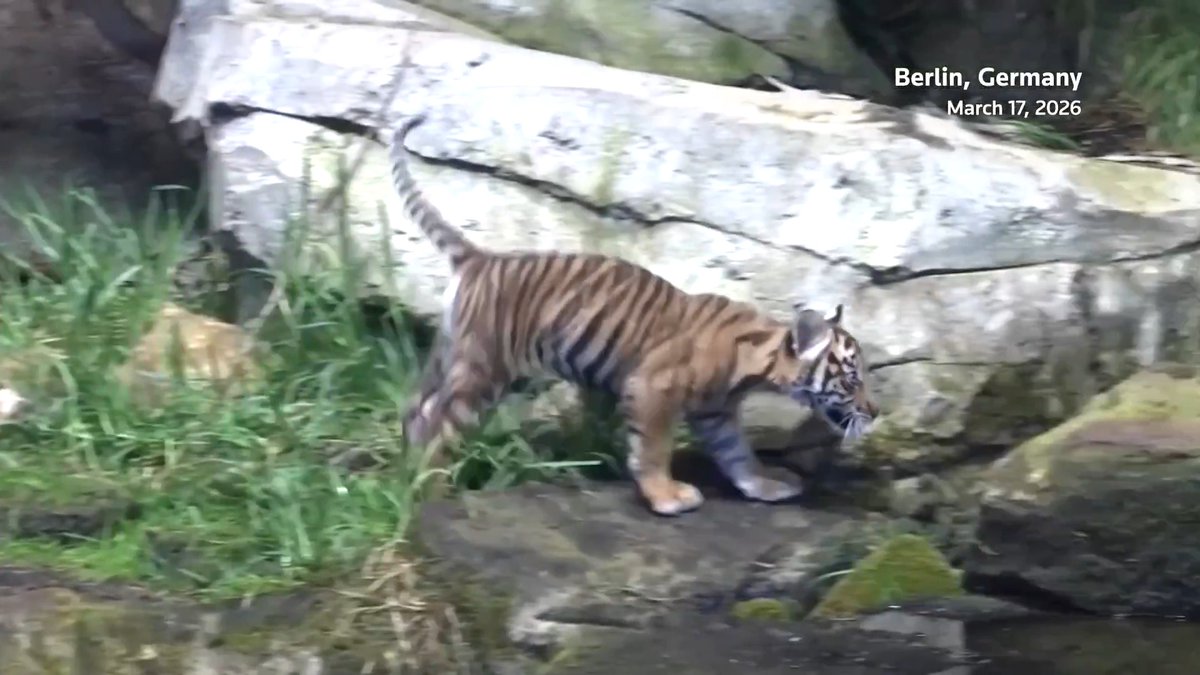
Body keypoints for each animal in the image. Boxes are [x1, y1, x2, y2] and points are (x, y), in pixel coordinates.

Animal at [388, 114, 878, 516]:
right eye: (852, 379)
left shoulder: (716, 413)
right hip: (485, 369)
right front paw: (668, 497)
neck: (756, 362)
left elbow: (738, 453)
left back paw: (406, 467)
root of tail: (479, 257)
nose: (874, 412)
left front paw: (764, 485)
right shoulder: (653, 389)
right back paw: (430, 489)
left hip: (452, 354)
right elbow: (654, 448)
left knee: (416, 410)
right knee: (440, 426)